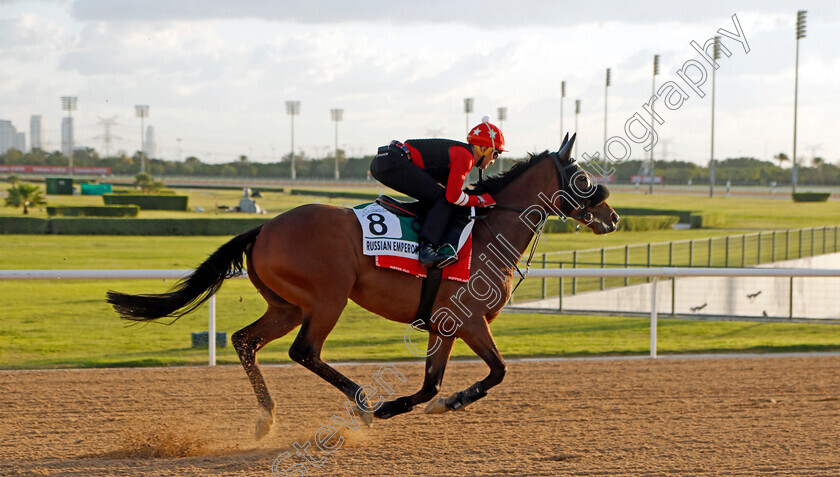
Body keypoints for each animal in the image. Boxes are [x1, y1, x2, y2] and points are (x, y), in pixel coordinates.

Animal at [106, 134, 616, 438]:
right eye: (582, 176)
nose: (611, 217)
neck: (491, 233)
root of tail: (265, 227)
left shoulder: (445, 326)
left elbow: (432, 385)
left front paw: (437, 403)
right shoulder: (469, 320)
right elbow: (498, 371)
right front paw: (422, 404)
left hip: (287, 305)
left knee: (245, 341)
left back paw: (267, 419)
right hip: (328, 298)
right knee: (303, 351)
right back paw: (364, 402)